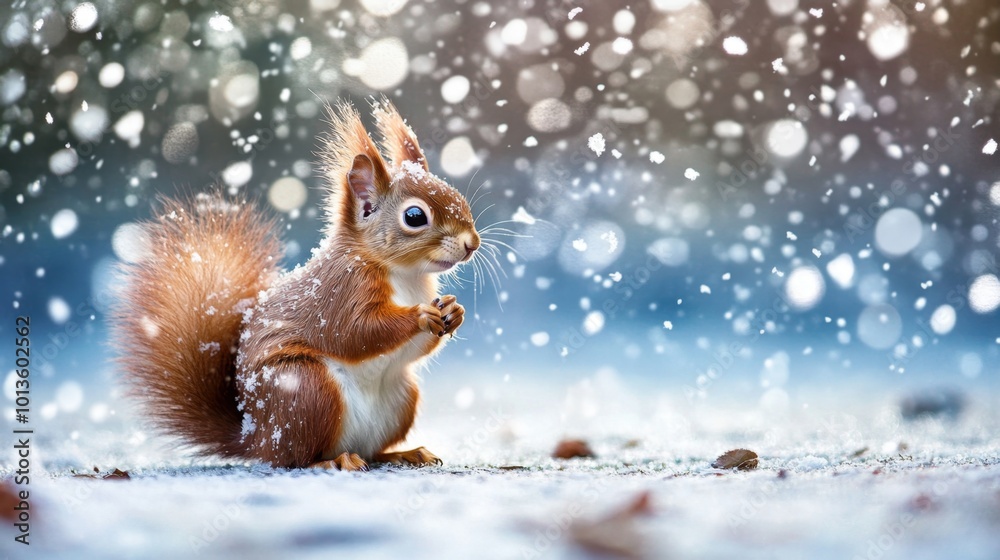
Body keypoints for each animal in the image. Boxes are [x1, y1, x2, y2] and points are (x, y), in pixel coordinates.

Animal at [111, 101, 480, 471]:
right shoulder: (341, 290)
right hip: (306, 390)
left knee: (371, 451)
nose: (472, 243)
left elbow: (415, 349)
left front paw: (455, 311)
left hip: (402, 396)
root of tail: (256, 438)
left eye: (458, 197)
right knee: (293, 459)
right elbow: (355, 332)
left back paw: (405, 453)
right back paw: (331, 462)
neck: (405, 274)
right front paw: (420, 315)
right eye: (415, 217)